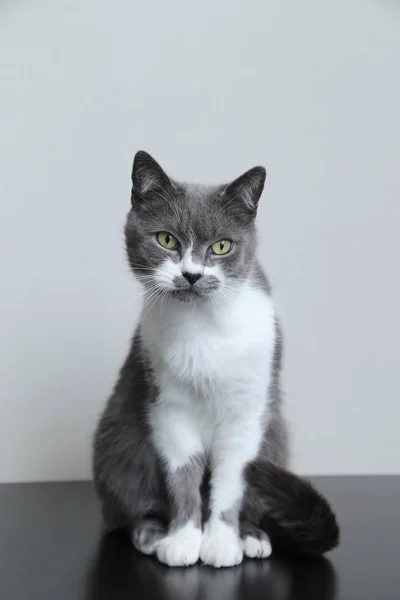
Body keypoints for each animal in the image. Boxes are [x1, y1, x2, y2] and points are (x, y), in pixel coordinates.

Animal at [92, 150, 340, 568]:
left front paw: (222, 542)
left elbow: (229, 481)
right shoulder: (168, 406)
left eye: (221, 246)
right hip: (119, 440)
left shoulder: (248, 411)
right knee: (127, 506)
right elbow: (183, 476)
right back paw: (150, 533)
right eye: (166, 239)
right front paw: (182, 540)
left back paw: (253, 536)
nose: (191, 274)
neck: (202, 327)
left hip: (275, 438)